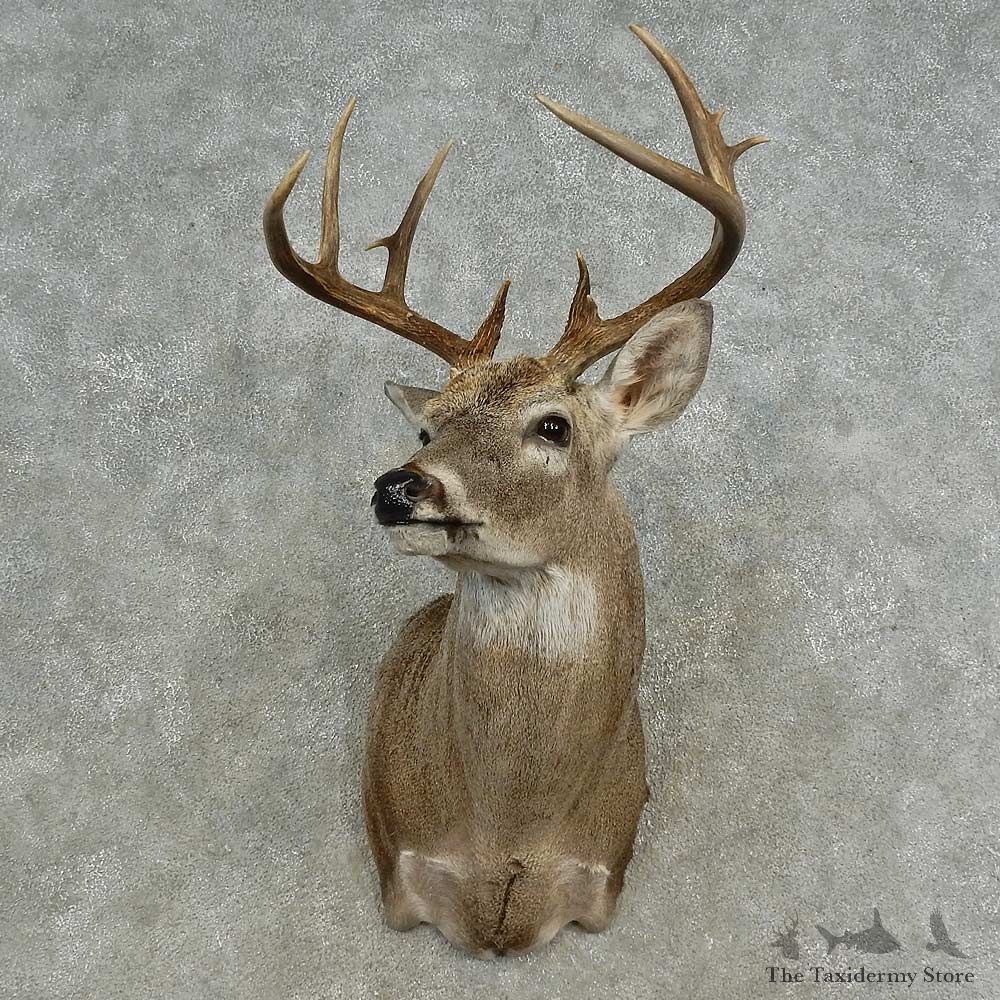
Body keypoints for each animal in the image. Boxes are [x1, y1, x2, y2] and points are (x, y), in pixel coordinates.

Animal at [263, 24, 765, 958]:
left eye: (553, 426)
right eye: (430, 427)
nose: (399, 485)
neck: (510, 832)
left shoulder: (602, 887)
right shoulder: (400, 875)